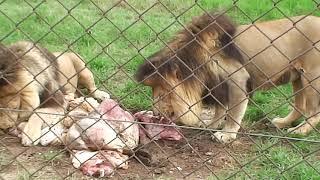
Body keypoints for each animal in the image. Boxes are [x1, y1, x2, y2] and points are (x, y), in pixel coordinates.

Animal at [135, 11, 320, 143]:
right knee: (300, 106)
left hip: (311, 78)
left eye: (162, 93)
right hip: (298, 77)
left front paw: (226, 135)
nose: (155, 113)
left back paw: (299, 131)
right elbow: (220, 109)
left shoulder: (238, 80)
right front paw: (210, 125)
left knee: (313, 111)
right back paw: (282, 122)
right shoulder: (218, 85)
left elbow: (233, 112)